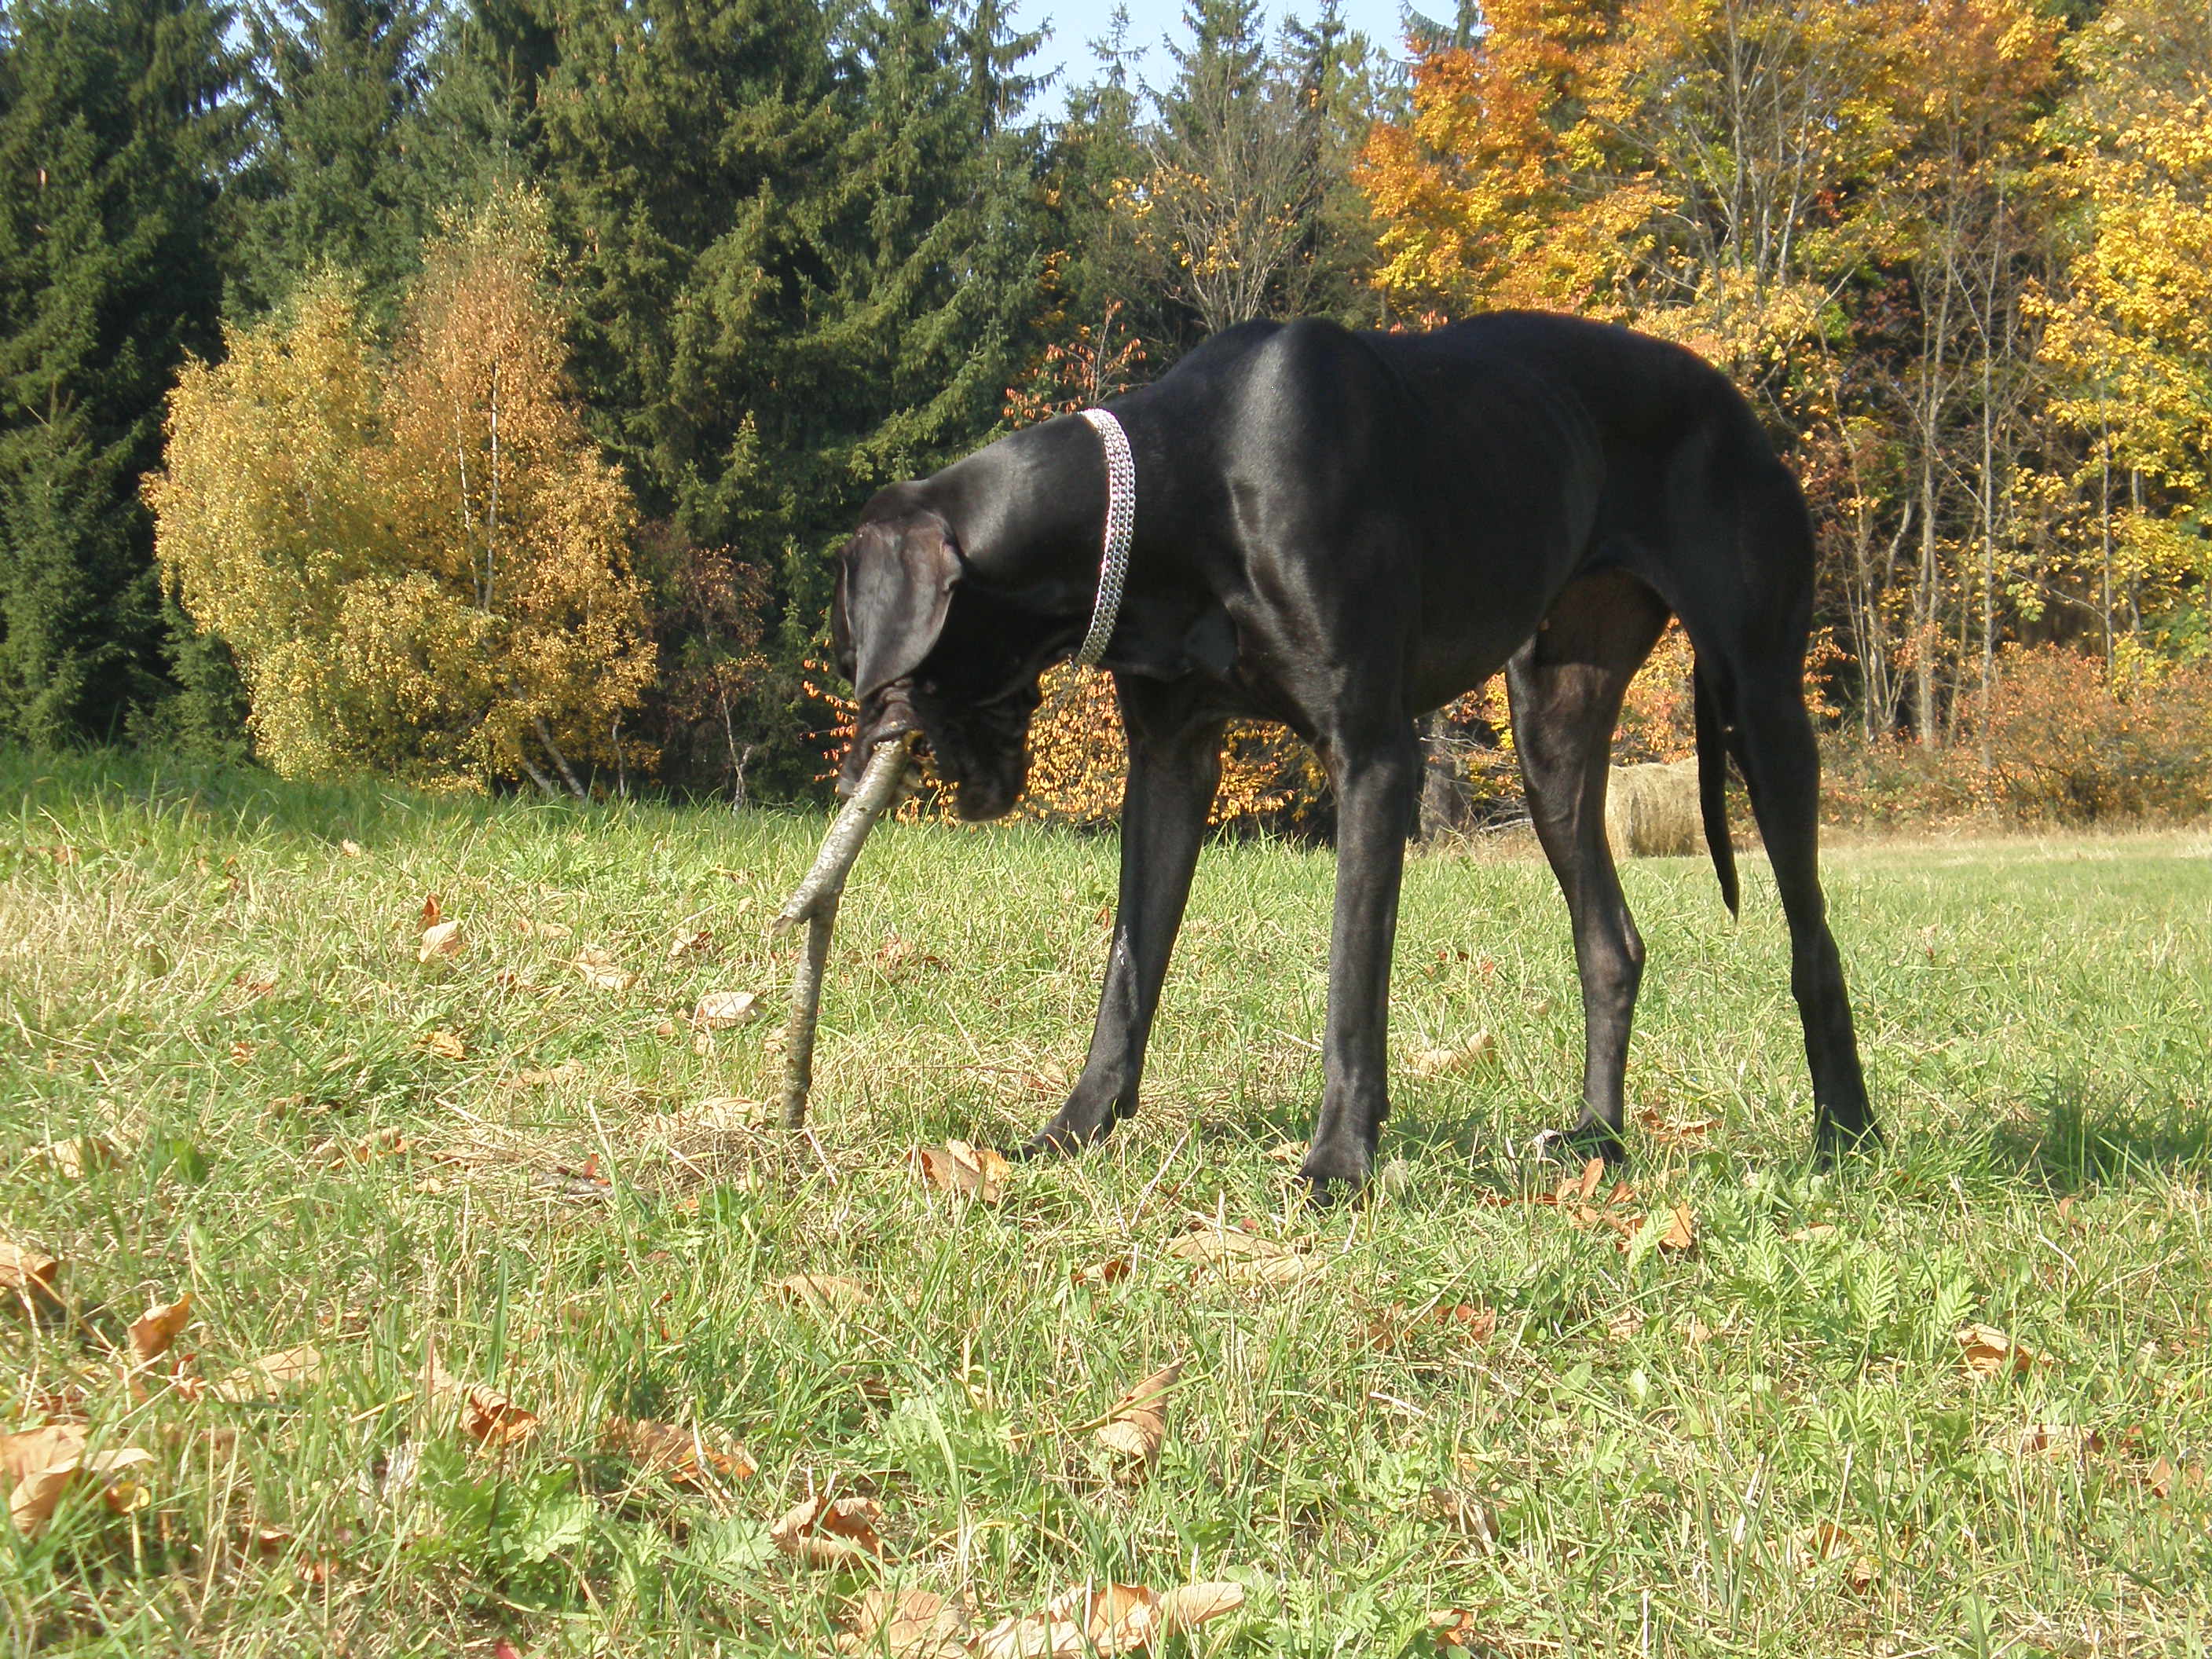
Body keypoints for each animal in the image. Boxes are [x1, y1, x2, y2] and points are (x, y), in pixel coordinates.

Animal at [836, 312, 1875, 1194]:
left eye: (873, 669)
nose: (853, 776)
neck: (1182, 484)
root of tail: (1734, 401)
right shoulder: (1170, 763)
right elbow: (1127, 970)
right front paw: (1068, 1133)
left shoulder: (1372, 757)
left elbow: (1350, 980)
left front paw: (1336, 1163)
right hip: (1552, 729)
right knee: (1608, 942)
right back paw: (1596, 1141)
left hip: (1762, 703)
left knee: (1813, 938)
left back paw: (1844, 1134)